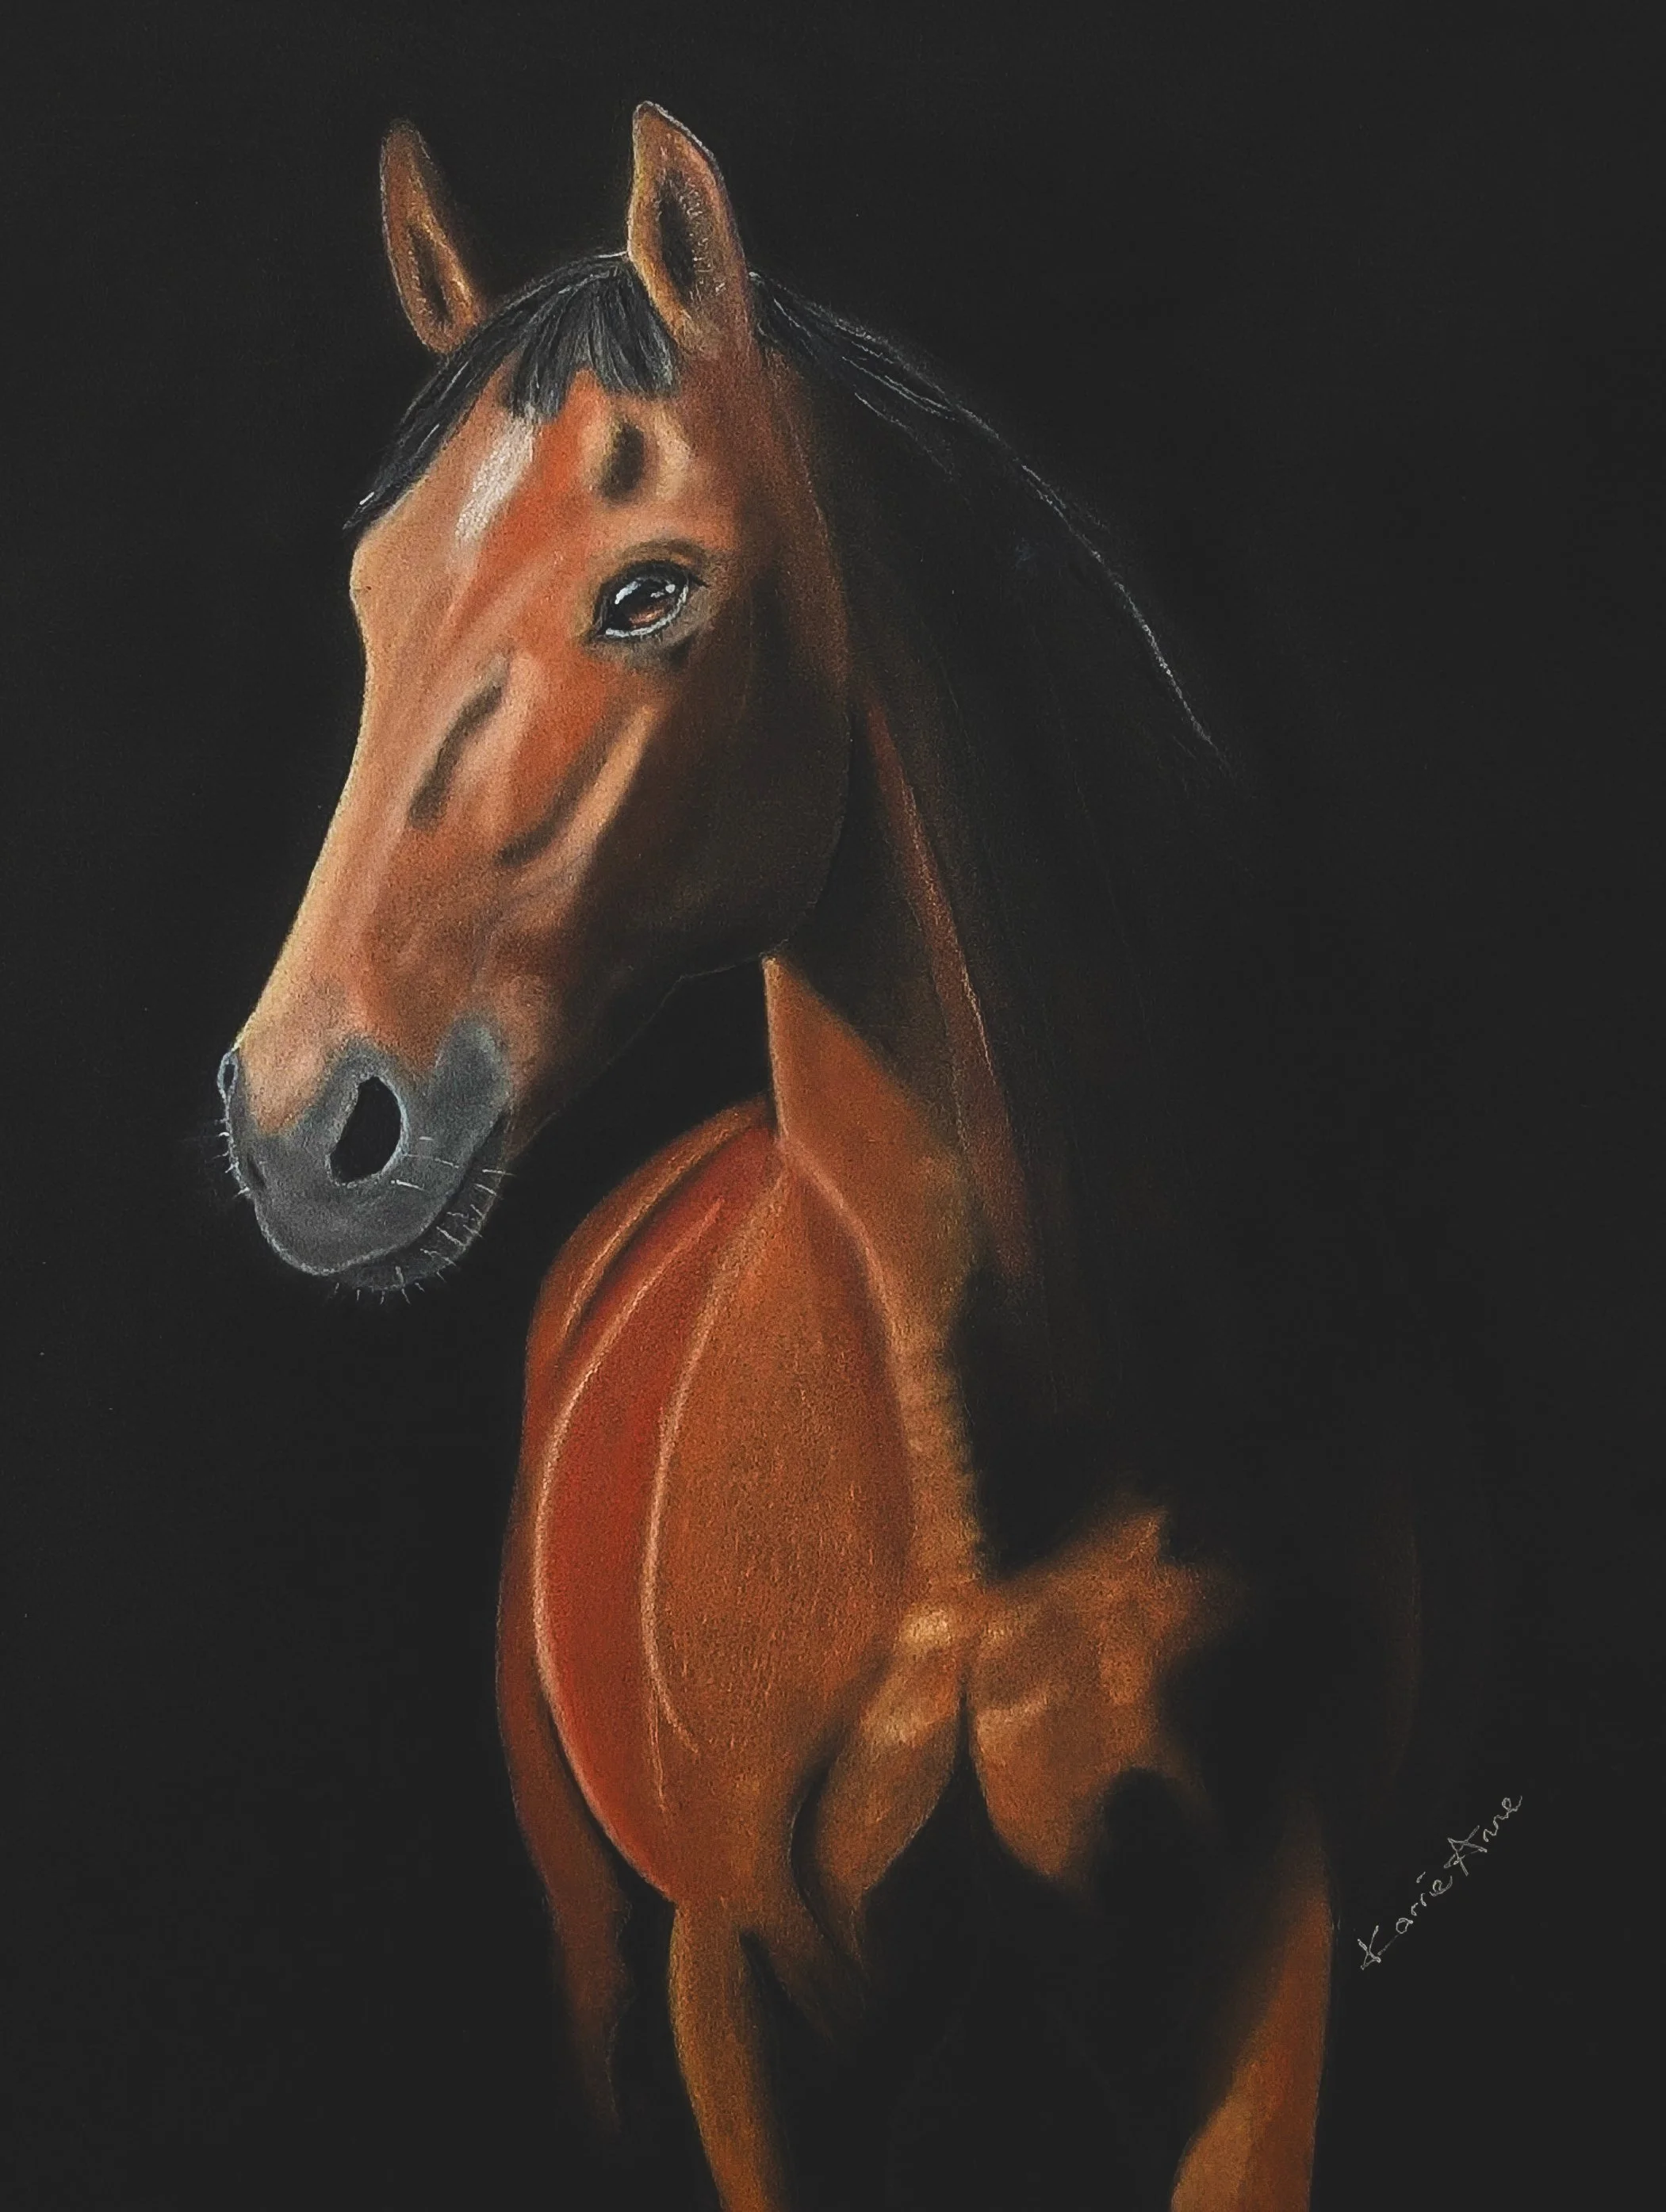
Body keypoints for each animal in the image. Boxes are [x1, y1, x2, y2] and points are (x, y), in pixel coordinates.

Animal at [220, 107, 1426, 2210]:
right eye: (374, 595)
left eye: (648, 593)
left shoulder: (1267, 1956)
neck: (981, 1492)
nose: (304, 1129)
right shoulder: (747, 1996)